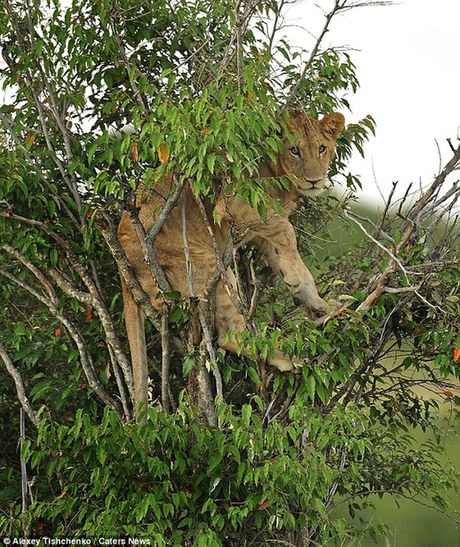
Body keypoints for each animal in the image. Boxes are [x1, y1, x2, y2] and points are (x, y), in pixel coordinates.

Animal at [118, 109, 344, 408]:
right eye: (295, 150)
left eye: (321, 148)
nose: (314, 180)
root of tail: (123, 275)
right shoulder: (234, 206)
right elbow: (288, 231)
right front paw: (300, 282)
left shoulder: (258, 230)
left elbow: (284, 252)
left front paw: (319, 305)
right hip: (209, 266)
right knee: (231, 335)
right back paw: (289, 357)